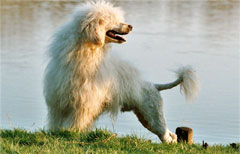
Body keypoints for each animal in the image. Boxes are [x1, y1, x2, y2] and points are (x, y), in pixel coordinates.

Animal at [43, 0, 201, 143]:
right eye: (112, 20)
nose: (131, 26)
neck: (84, 51)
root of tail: (154, 86)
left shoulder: (83, 104)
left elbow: (75, 122)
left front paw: (71, 133)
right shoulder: (59, 102)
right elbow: (57, 121)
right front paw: (57, 132)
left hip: (153, 115)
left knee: (166, 136)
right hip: (147, 118)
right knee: (171, 135)